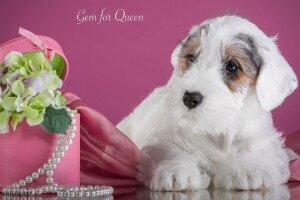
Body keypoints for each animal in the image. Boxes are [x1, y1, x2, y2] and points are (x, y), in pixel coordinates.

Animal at [116, 15, 298, 191]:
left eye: (232, 66)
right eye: (191, 58)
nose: (190, 98)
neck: (219, 131)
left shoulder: (266, 144)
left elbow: (255, 152)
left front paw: (247, 169)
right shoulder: (163, 139)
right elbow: (173, 150)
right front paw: (176, 170)